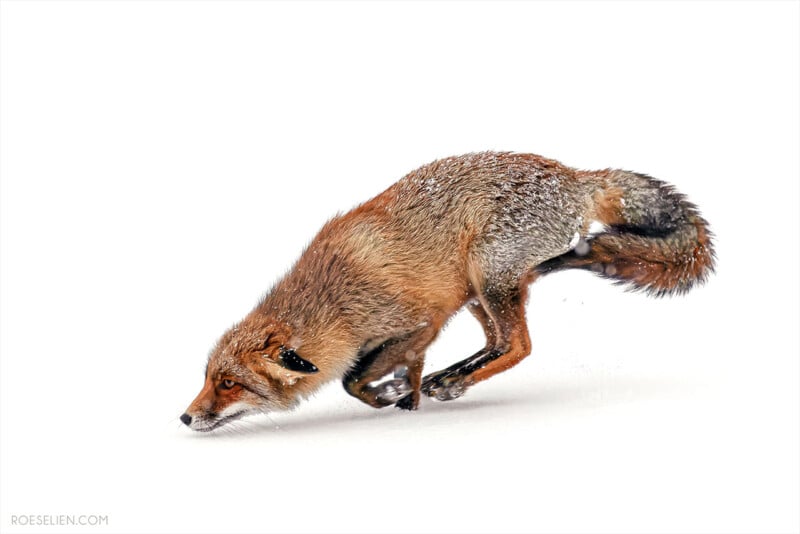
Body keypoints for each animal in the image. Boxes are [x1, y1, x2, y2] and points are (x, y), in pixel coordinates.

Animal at [180, 151, 714, 432]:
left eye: (228, 384)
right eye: (208, 377)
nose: (185, 419)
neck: (337, 301)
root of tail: (574, 176)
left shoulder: (421, 322)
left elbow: (353, 379)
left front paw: (394, 398)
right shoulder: (416, 330)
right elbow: (375, 375)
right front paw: (406, 397)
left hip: (489, 276)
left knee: (519, 345)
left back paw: (454, 382)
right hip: (479, 293)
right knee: (498, 341)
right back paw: (452, 377)